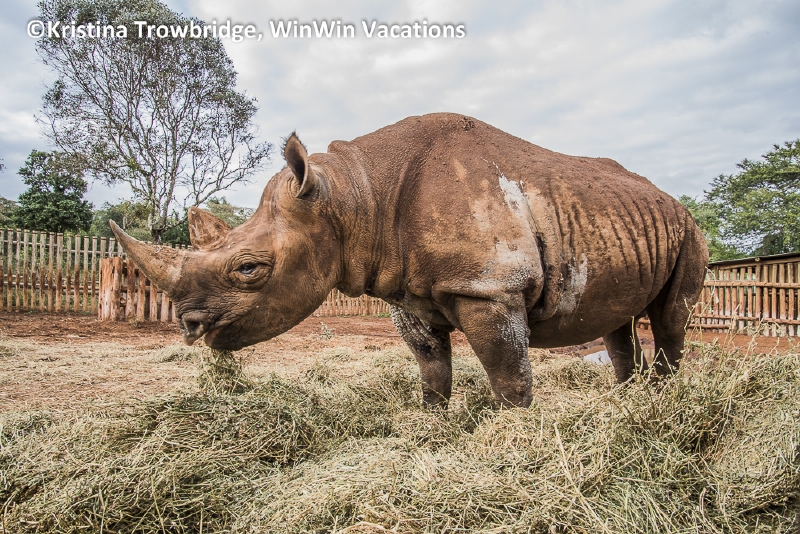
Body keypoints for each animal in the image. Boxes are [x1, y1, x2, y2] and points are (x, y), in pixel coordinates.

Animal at [111, 113, 708, 408]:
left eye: (249, 269)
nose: (190, 327)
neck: (352, 196)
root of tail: (671, 200)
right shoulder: (407, 292)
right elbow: (431, 370)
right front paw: (433, 424)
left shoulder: (489, 287)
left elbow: (509, 378)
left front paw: (515, 434)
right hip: (622, 221)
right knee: (616, 320)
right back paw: (627, 402)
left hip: (689, 229)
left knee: (671, 317)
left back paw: (664, 404)